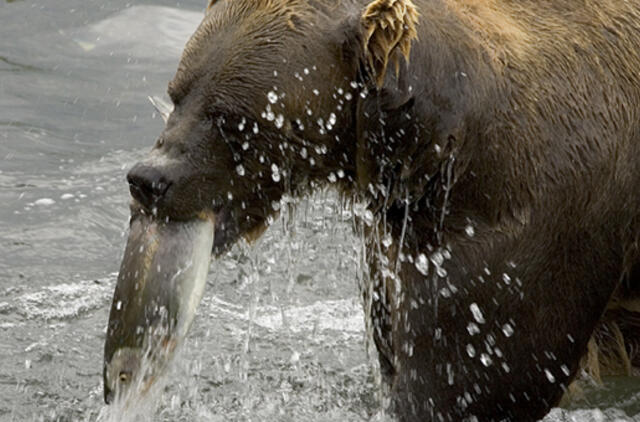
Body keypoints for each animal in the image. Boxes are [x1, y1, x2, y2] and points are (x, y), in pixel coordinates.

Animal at [115, 0, 640, 420]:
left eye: (233, 120)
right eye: (177, 92)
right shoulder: (397, 243)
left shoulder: (529, 223)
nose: (149, 180)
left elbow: (475, 379)